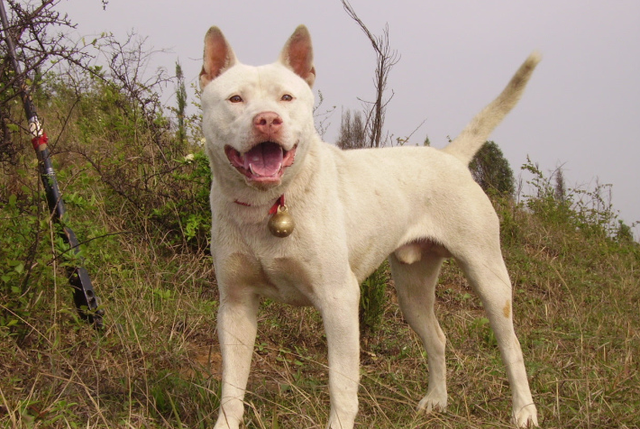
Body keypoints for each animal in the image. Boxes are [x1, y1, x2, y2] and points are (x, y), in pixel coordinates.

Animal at [200, 24, 540, 428]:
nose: (268, 119)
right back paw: (436, 400)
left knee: (512, 347)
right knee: (438, 338)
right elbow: (232, 389)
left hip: (489, 279)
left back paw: (524, 411)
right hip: (412, 291)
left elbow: (341, 386)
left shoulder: (340, 300)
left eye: (286, 97)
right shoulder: (235, 306)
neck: (268, 204)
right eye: (235, 99)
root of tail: (451, 158)